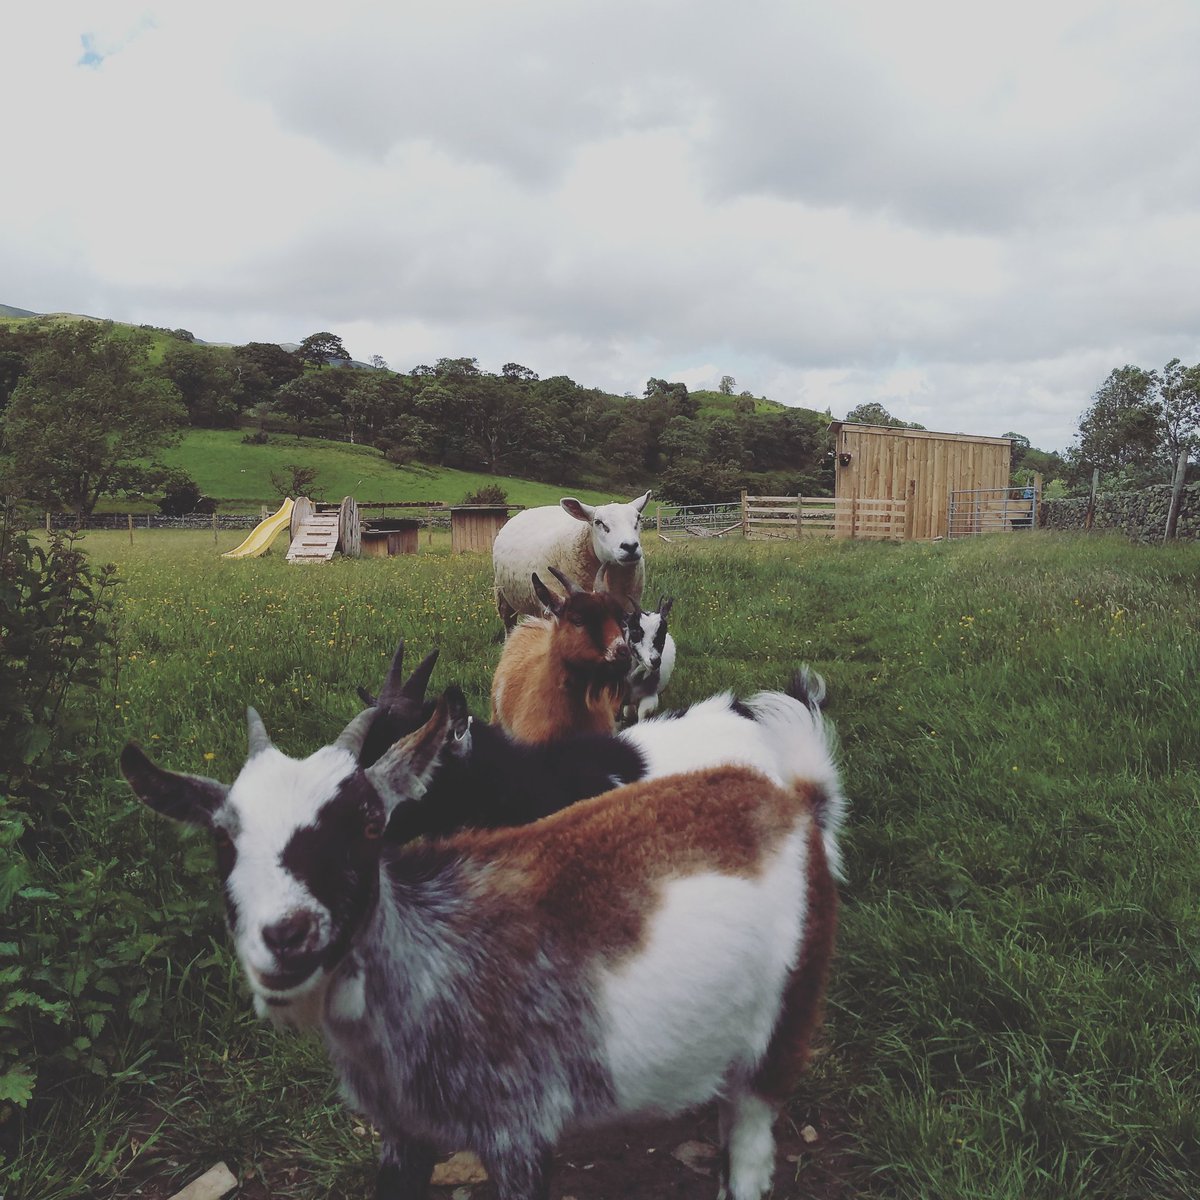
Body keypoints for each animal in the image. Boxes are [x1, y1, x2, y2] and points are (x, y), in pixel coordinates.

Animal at [120, 689, 843, 1200]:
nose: (287, 933)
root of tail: (795, 801)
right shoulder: (401, 1133)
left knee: (750, 1148)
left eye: (369, 822)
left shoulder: (518, 1126)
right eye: (222, 838)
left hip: (786, 1020)